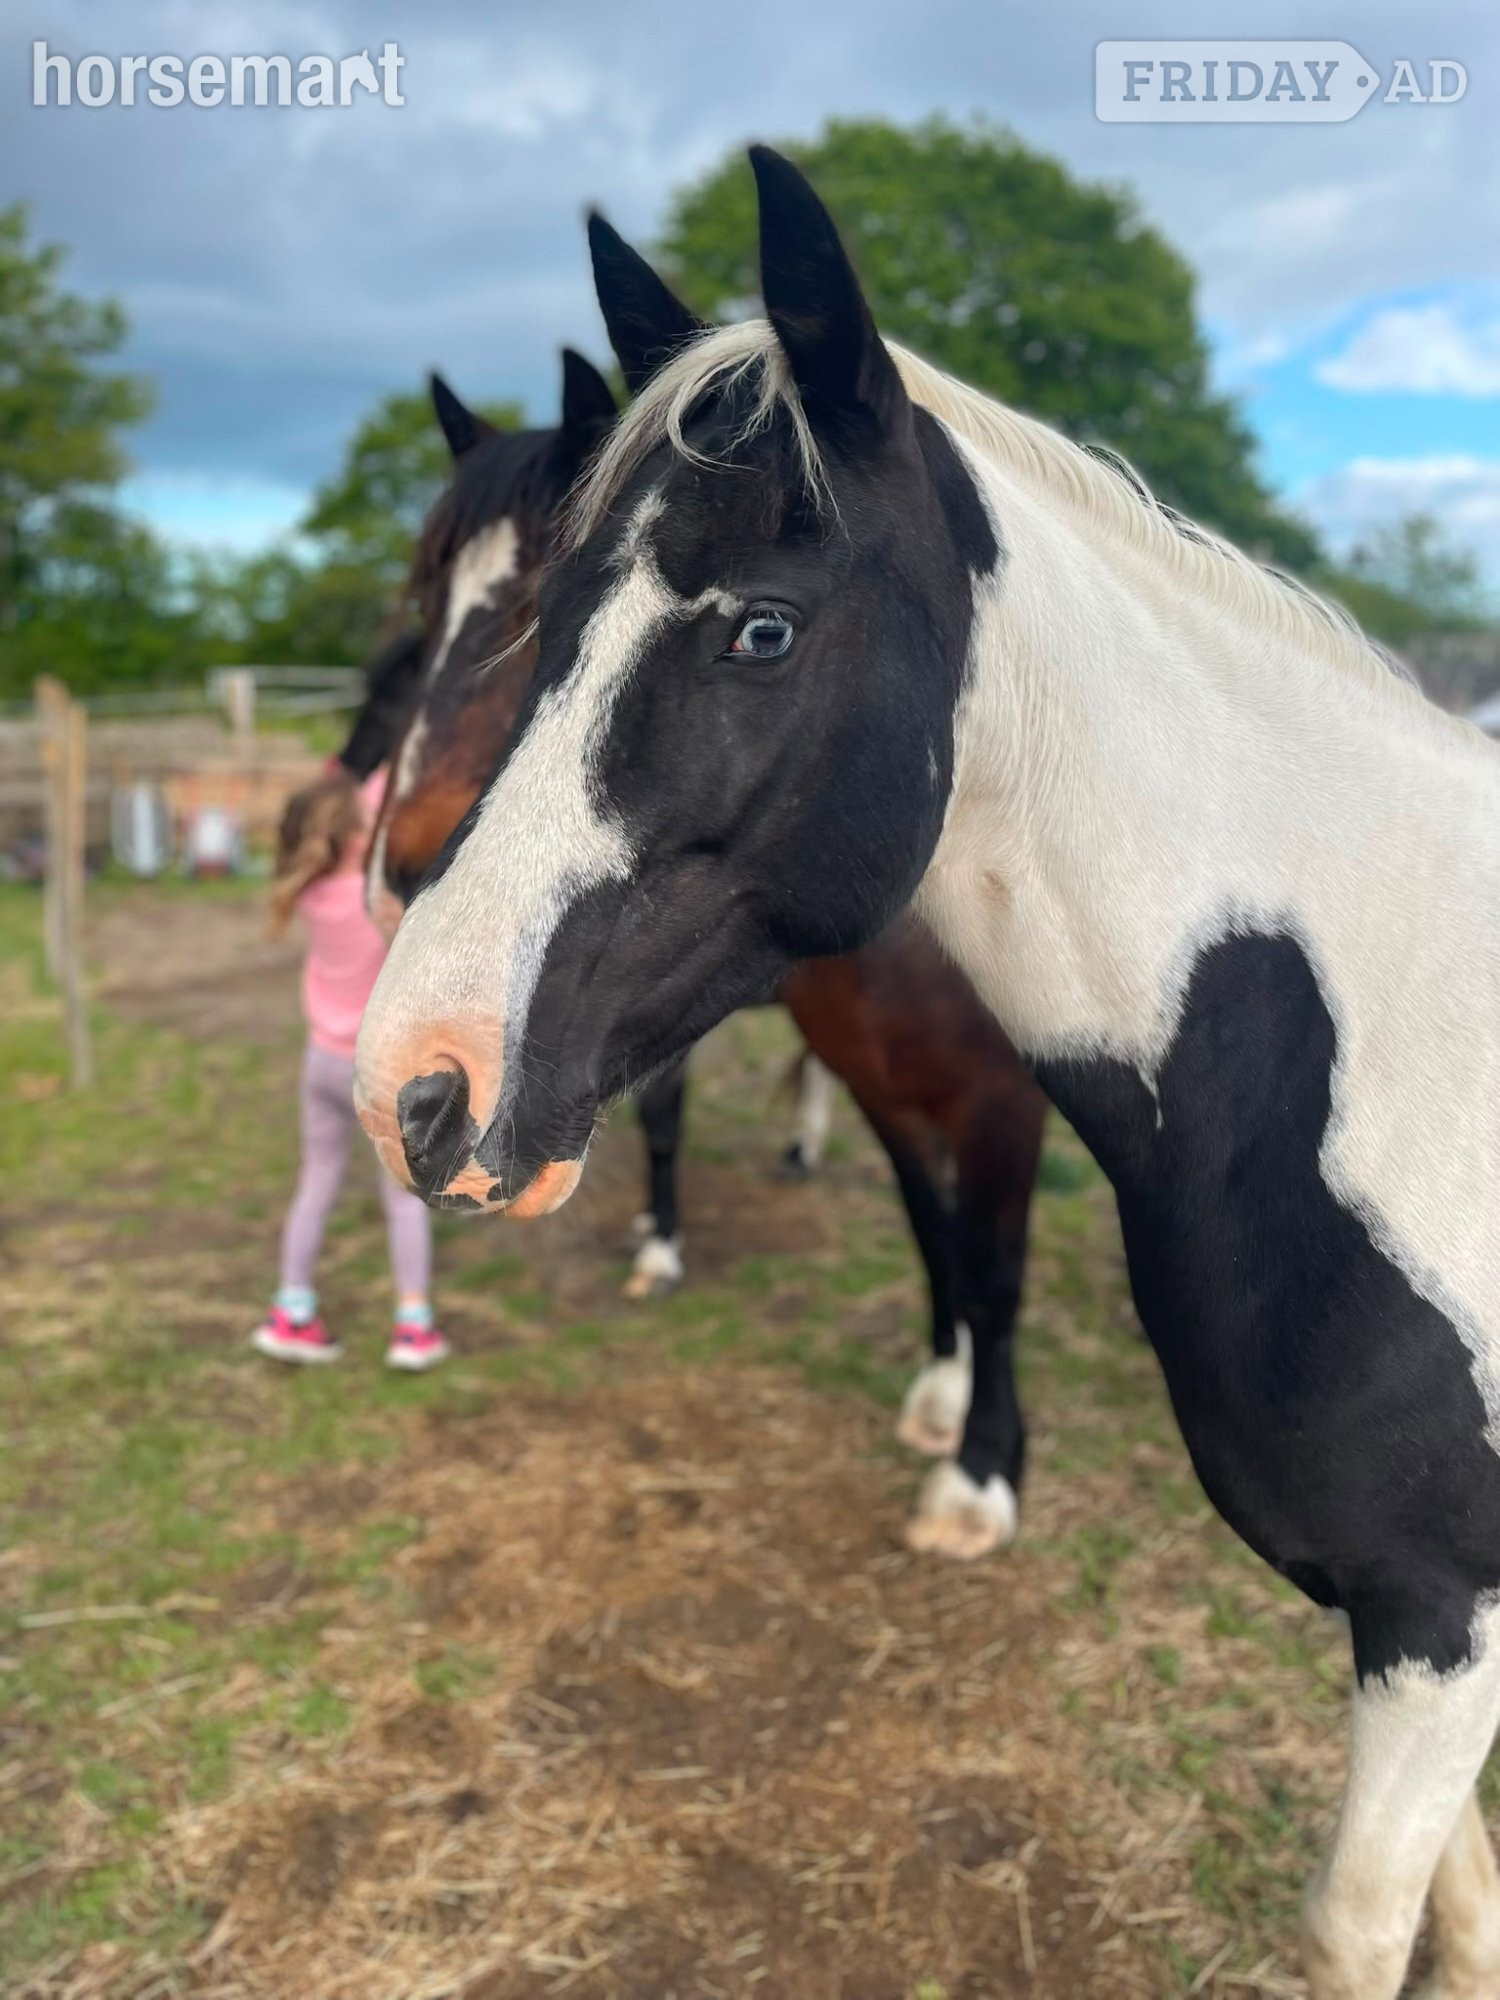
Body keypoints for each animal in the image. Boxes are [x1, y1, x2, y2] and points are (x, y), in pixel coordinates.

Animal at [352, 351, 1048, 1559]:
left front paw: (979, 1472)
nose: (397, 862)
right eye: (430, 611)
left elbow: (994, 1272)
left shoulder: (1002, 1107)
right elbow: (931, 1234)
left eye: (527, 611)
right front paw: (940, 1388)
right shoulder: (873, 1084)